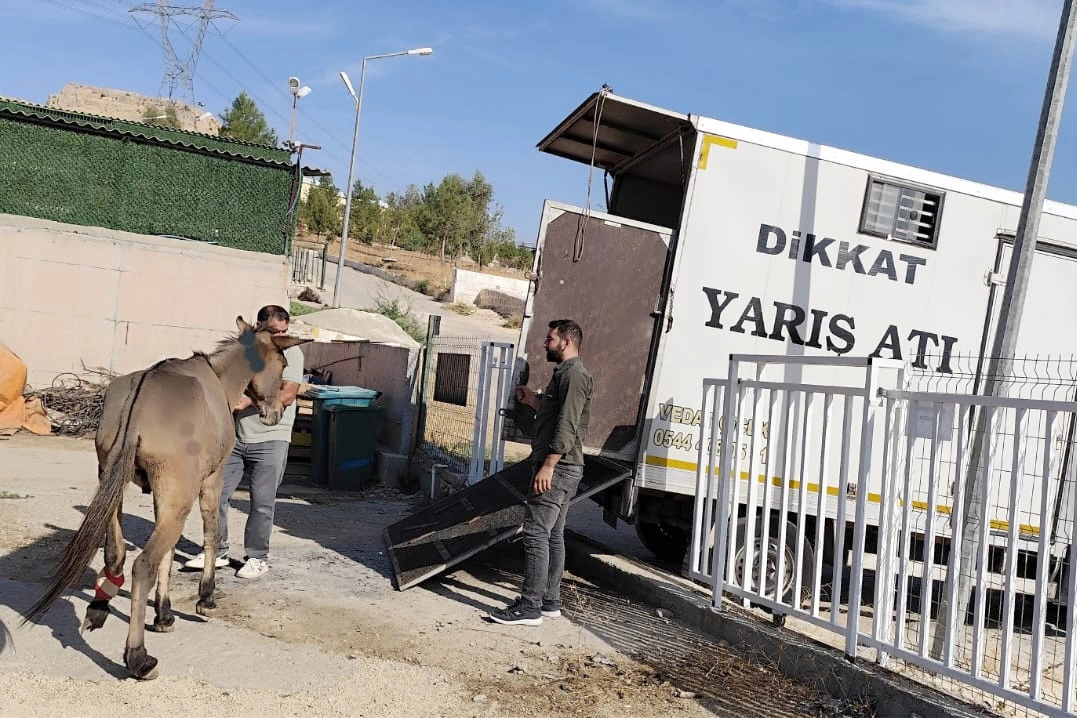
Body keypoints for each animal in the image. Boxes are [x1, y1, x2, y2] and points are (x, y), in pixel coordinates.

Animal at [21, 316, 310, 680]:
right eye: (283, 364)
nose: (275, 413)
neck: (217, 379)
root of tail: (140, 401)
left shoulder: (164, 495)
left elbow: (168, 556)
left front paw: (163, 614)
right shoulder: (211, 483)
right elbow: (212, 534)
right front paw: (205, 598)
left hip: (115, 488)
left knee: (116, 554)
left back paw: (100, 608)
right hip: (179, 499)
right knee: (143, 564)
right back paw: (138, 658)